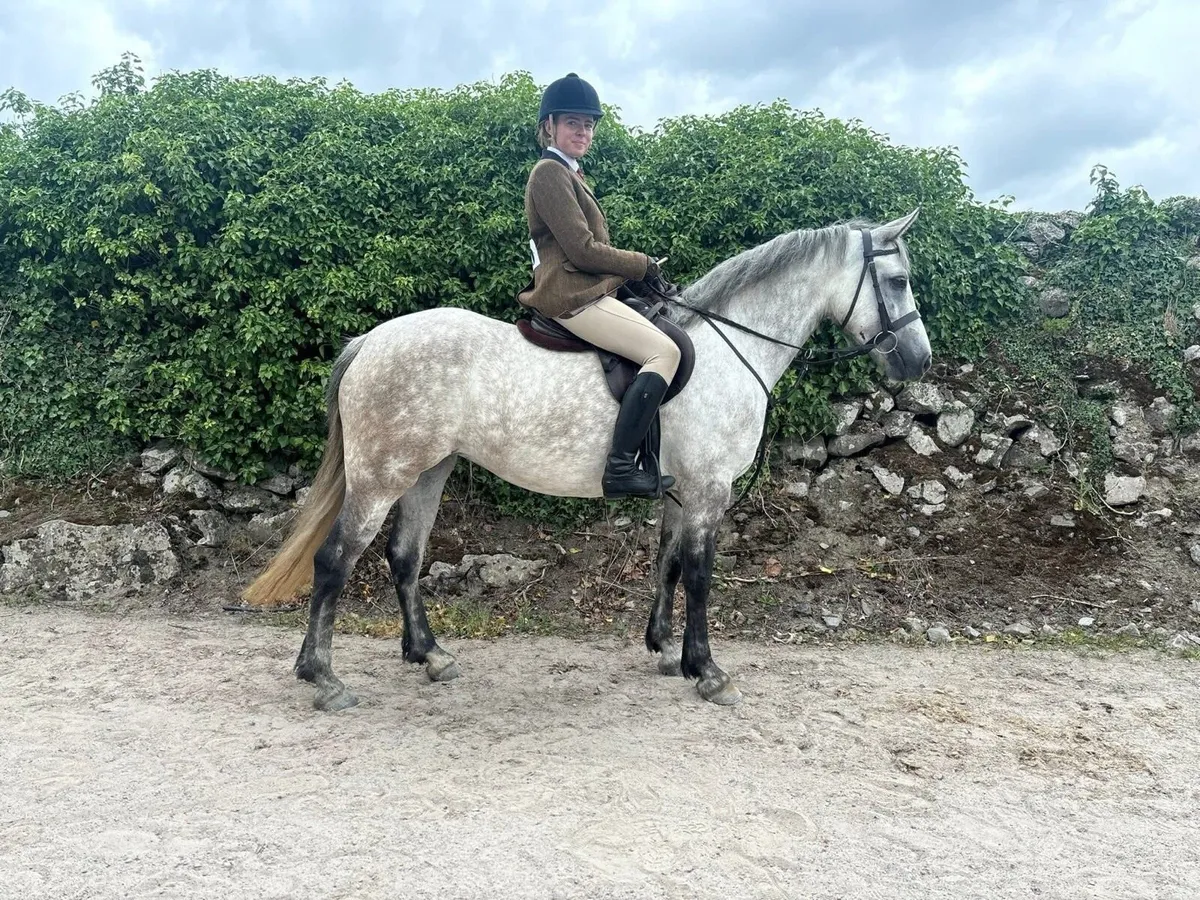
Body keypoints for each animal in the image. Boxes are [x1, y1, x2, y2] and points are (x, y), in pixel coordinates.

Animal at [243, 209, 931, 710]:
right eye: (898, 281)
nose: (918, 361)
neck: (727, 349)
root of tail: (370, 340)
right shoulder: (708, 491)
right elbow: (700, 576)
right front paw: (708, 671)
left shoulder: (682, 492)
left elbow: (668, 565)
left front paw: (665, 652)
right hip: (382, 476)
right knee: (335, 560)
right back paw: (323, 678)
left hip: (427, 471)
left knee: (403, 557)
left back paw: (430, 656)